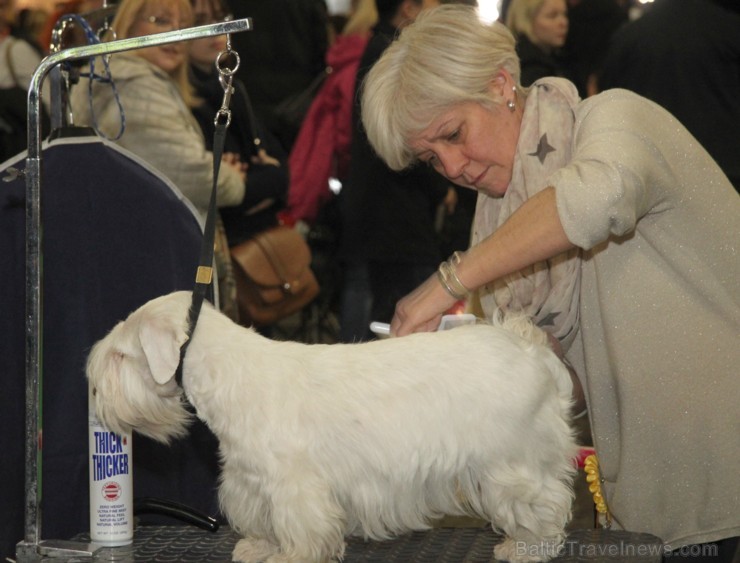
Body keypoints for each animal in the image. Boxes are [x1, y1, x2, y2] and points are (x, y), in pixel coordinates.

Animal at [86, 294, 580, 560]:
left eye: (121, 354)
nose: (91, 385)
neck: (230, 374)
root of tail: (529, 349)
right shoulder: (252, 480)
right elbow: (263, 518)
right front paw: (259, 547)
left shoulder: (293, 484)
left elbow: (301, 525)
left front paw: (291, 557)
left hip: (512, 465)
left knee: (547, 506)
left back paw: (527, 548)